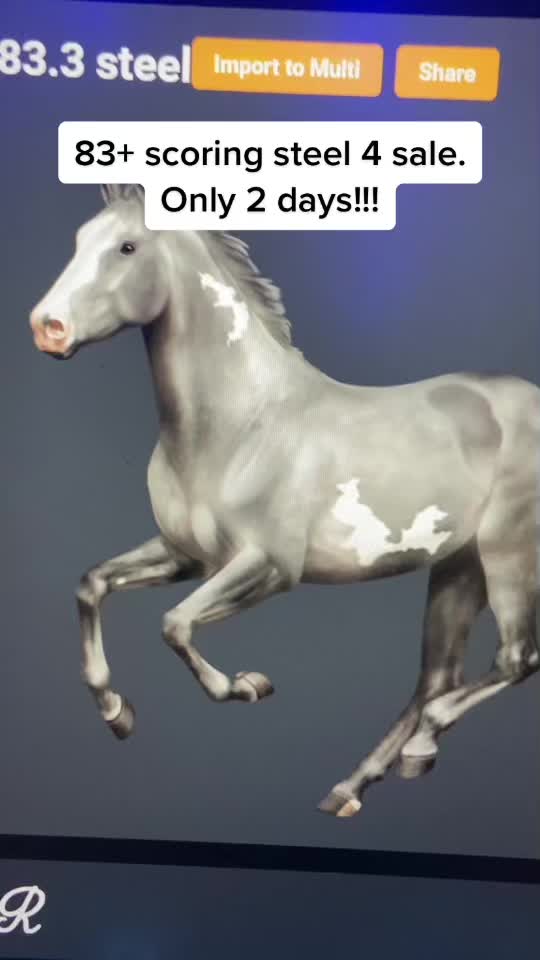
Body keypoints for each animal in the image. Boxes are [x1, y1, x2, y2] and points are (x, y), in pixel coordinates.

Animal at [29, 183, 540, 818]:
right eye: (79, 239)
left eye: (127, 246)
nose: (47, 328)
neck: (242, 424)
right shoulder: (185, 556)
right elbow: (92, 585)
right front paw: (117, 713)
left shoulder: (269, 566)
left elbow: (175, 625)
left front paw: (248, 685)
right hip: (457, 565)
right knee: (437, 677)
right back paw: (354, 786)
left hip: (507, 555)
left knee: (514, 661)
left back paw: (419, 745)